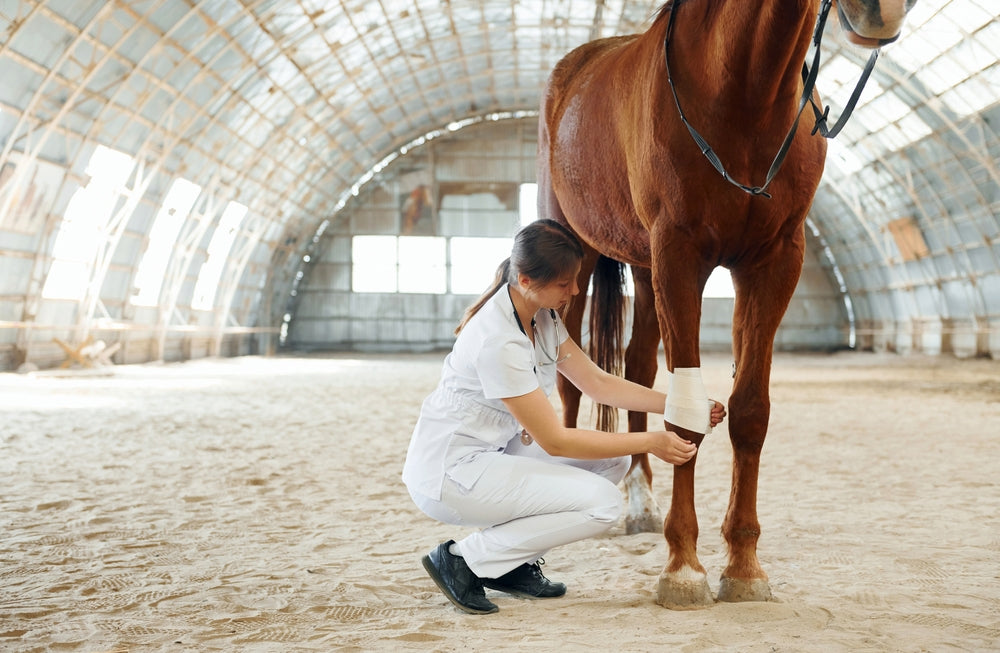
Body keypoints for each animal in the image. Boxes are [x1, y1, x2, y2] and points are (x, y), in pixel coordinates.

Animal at [538, 0, 915, 608]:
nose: (883, 11)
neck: (744, 96)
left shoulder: (774, 262)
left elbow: (749, 410)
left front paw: (743, 566)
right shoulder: (679, 255)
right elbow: (687, 417)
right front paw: (683, 569)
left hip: (644, 267)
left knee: (638, 367)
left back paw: (640, 503)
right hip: (578, 248)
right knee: (570, 382)